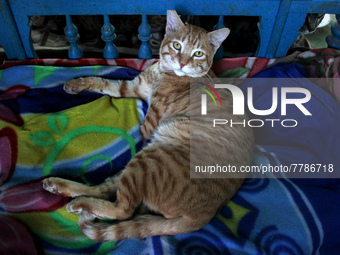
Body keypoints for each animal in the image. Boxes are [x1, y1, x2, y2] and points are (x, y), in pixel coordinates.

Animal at [42, 9, 254, 241]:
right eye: (177, 45)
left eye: (198, 53)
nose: (181, 63)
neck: (162, 71)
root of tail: (206, 216)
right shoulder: (131, 87)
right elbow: (102, 82)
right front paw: (76, 83)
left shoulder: (149, 124)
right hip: (141, 163)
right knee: (104, 189)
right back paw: (59, 186)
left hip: (149, 159)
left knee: (123, 209)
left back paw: (81, 204)